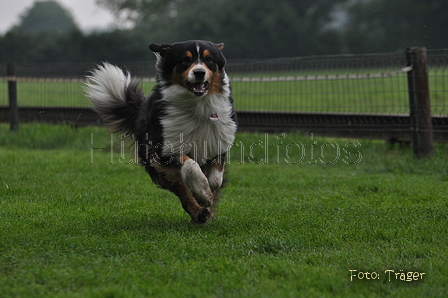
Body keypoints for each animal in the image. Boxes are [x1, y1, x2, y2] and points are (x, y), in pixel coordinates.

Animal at [84, 40, 238, 224]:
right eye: (185, 60)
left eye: (209, 59)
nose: (199, 72)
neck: (197, 106)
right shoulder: (163, 150)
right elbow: (190, 166)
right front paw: (202, 192)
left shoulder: (218, 140)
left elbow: (215, 178)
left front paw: (208, 190)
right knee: (181, 190)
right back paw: (198, 213)